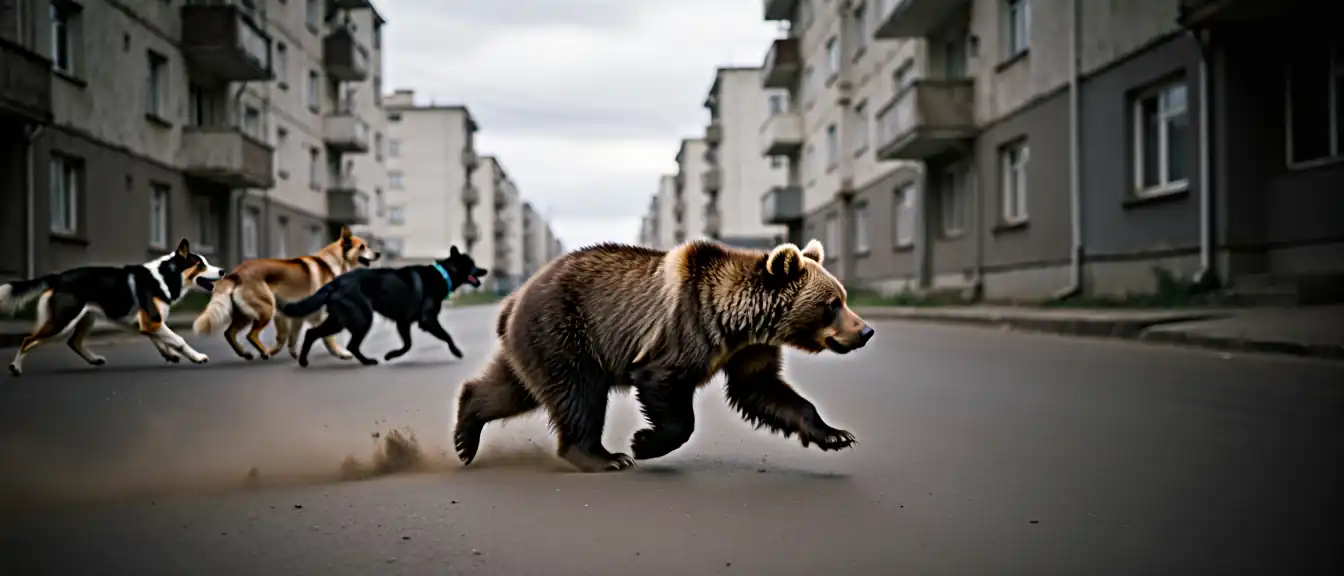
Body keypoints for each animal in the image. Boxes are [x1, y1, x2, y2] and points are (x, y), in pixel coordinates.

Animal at [452, 238, 876, 473]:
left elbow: (763, 391)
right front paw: (643, 442)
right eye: (832, 304)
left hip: (536, 343)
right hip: (566, 331)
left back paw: (465, 434)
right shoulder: (685, 326)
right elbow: (665, 386)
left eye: (843, 298)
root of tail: (513, 299)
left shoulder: (749, 350)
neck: (735, 321)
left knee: (513, 388)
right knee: (578, 394)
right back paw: (603, 457)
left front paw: (836, 435)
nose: (865, 331)